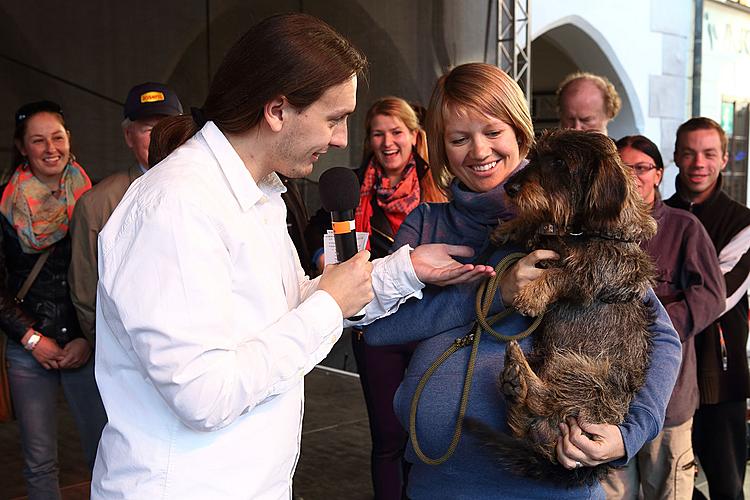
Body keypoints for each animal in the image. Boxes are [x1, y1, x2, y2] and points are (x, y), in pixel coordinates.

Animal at [472, 128, 660, 484]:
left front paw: (532, 293)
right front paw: (510, 227)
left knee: (545, 401)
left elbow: (563, 272)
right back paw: (514, 380)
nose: (510, 189)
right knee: (521, 419)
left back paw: (519, 373)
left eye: (559, 162)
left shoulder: (597, 270)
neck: (581, 230)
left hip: (579, 370)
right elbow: (538, 226)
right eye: (535, 156)